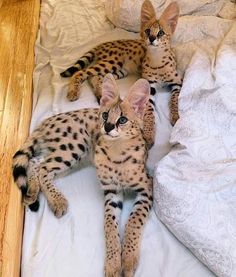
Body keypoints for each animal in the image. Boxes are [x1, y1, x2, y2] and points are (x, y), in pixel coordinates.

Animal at [12, 74, 152, 274]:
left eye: (123, 119)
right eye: (105, 115)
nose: (107, 127)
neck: (117, 151)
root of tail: (45, 122)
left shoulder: (146, 188)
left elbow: (134, 221)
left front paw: (128, 259)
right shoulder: (111, 192)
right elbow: (109, 225)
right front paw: (113, 263)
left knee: (35, 162)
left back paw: (32, 191)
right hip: (74, 146)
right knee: (44, 167)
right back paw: (56, 200)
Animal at [61, 0, 183, 138]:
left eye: (161, 33)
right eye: (147, 31)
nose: (151, 38)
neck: (157, 57)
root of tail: (101, 44)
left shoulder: (177, 82)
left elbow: (175, 99)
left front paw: (176, 116)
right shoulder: (150, 85)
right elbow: (149, 110)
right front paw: (149, 133)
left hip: (119, 70)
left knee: (95, 77)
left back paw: (100, 94)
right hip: (113, 63)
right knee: (81, 72)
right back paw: (73, 92)